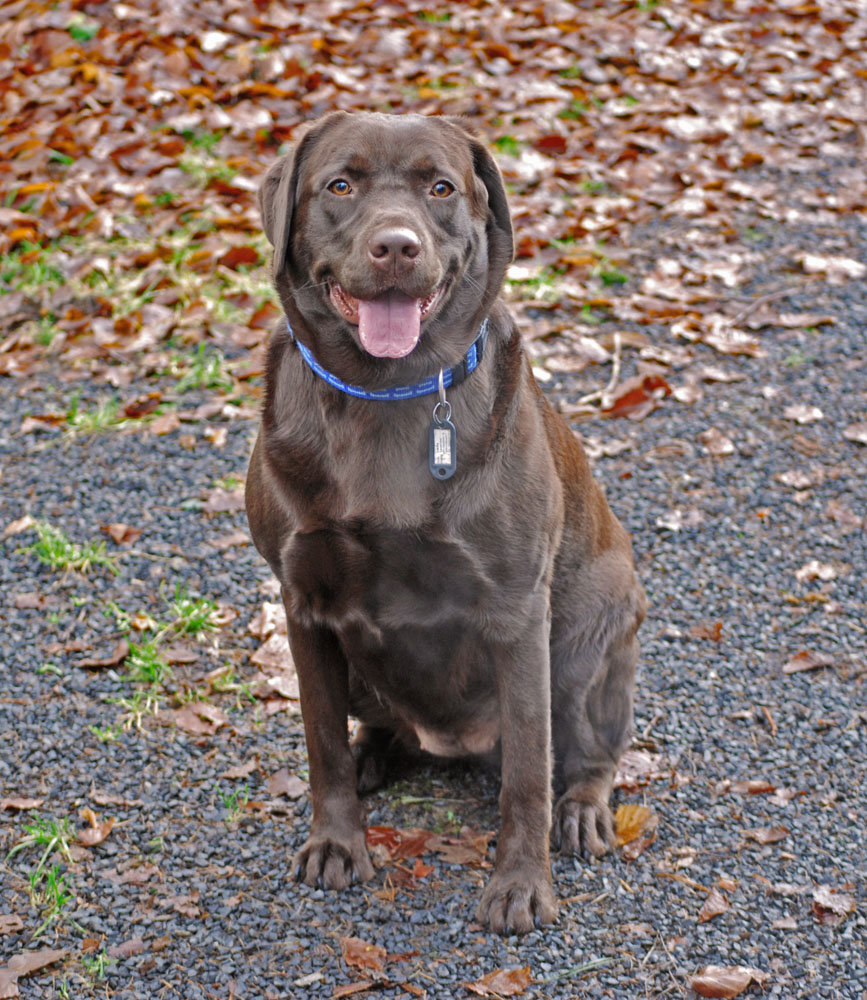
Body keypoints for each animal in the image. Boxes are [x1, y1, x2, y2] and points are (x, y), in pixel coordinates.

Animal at [244, 113, 644, 932]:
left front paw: (521, 884)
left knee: (589, 752)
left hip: (587, 645)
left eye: (440, 188)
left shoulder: (516, 612)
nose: (396, 246)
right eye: (340, 185)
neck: (385, 391)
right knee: (375, 729)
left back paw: (584, 810)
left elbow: (527, 772)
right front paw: (336, 843)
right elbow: (321, 745)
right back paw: (373, 755)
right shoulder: (302, 606)